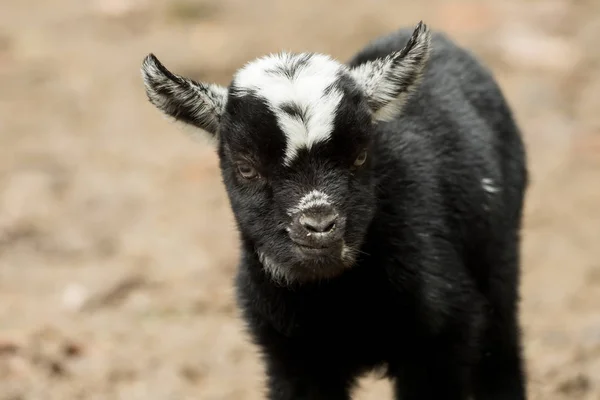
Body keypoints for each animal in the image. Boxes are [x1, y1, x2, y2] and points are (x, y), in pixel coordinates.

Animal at [139, 21, 524, 400]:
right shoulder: (290, 355)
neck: (336, 303)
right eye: (246, 167)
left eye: (361, 155)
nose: (320, 226)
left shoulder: (443, 335)